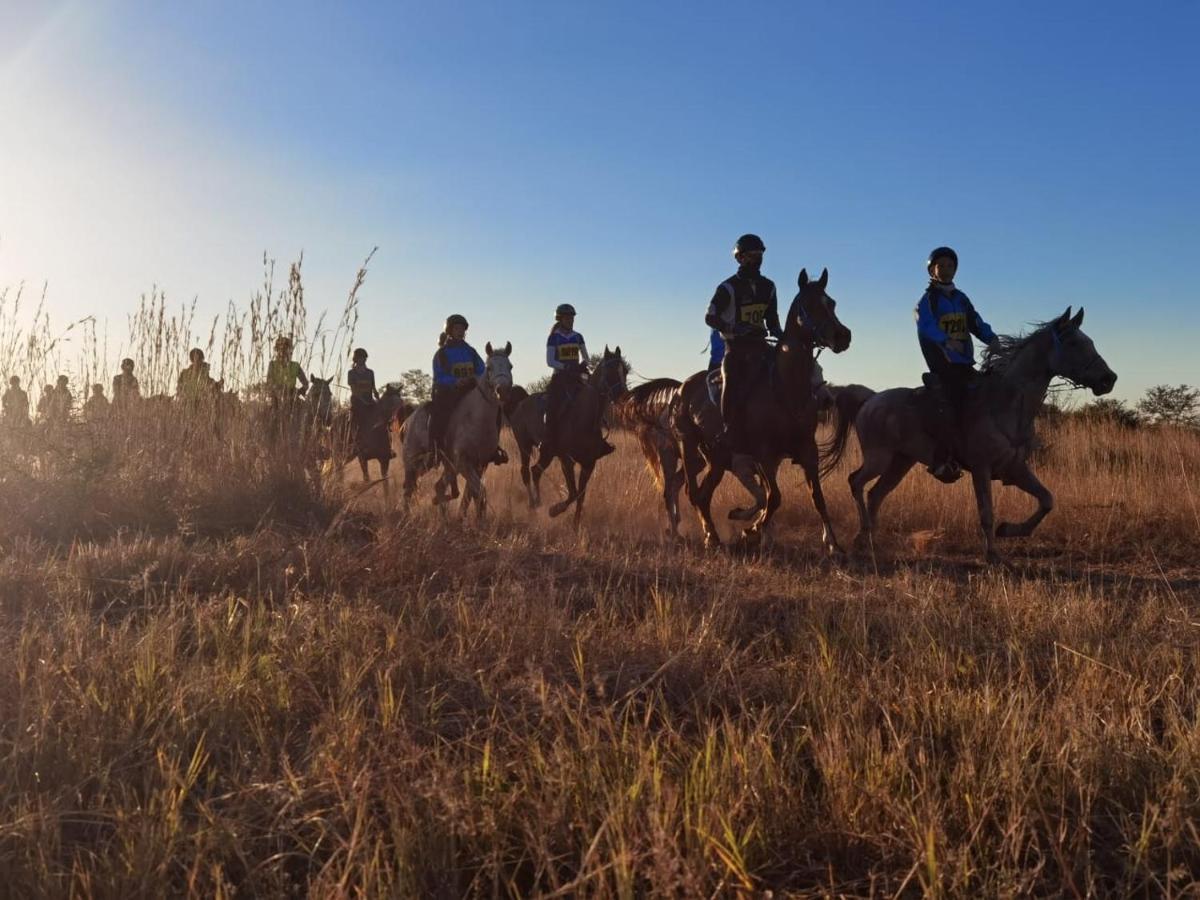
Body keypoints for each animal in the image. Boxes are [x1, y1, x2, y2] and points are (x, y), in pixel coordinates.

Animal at [403, 340, 516, 520]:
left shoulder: (480, 464)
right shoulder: (464, 462)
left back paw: (444, 517)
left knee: (437, 487)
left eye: (510, 366)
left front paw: (469, 518)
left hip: (445, 466)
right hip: (414, 463)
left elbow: (472, 494)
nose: (503, 390)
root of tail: (408, 420)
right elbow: (479, 492)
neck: (477, 419)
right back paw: (406, 517)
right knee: (409, 489)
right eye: (489, 367)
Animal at [676, 267, 854, 554]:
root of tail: (683, 388)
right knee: (694, 493)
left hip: (716, 458)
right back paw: (712, 535)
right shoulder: (766, 455)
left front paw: (833, 543)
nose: (842, 336)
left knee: (703, 495)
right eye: (808, 305)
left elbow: (816, 497)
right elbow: (774, 498)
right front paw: (751, 530)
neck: (785, 388)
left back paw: (713, 535)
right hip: (690, 447)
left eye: (832, 303)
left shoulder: (808, 451)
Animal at [825, 309, 1113, 564]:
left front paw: (1009, 530)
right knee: (855, 482)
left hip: (901, 462)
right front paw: (993, 555)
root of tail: (870, 399)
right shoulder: (981, 468)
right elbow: (986, 512)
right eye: (1074, 343)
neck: (1005, 404)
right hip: (879, 458)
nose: (1109, 379)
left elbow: (1046, 500)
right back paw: (857, 536)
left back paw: (867, 539)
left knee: (876, 494)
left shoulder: (1015, 469)